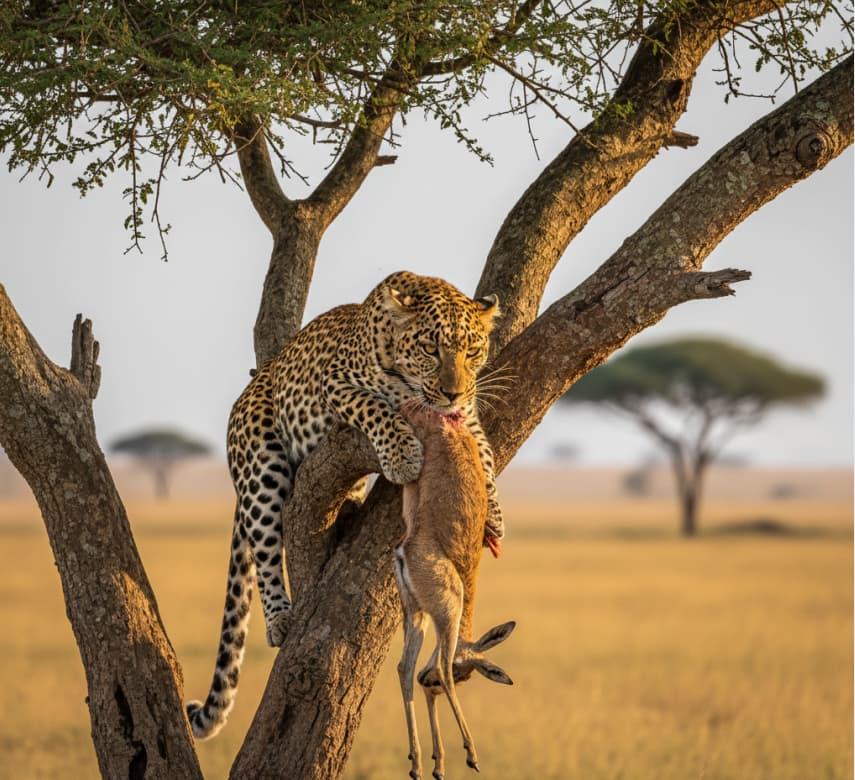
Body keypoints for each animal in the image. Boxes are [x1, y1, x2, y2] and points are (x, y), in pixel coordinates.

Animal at [186, 270, 505, 739]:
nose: (453, 392)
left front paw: (494, 514)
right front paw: (402, 454)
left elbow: (485, 454)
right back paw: (280, 618)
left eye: (472, 350)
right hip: (261, 463)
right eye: (431, 349)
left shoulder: (467, 418)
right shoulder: (338, 385)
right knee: (264, 548)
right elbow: (376, 408)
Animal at [395, 401, 515, 780]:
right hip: (445, 613)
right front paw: (451, 758)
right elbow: (445, 672)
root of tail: (408, 549)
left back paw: (417, 762)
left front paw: (437, 762)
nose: (428, 680)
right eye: (467, 671)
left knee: (404, 668)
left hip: (415, 613)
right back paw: (471, 752)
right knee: (438, 668)